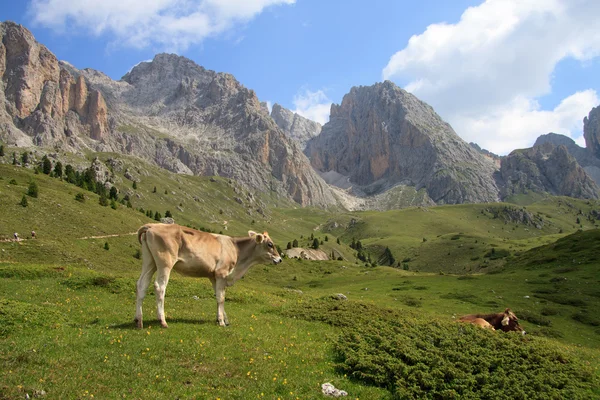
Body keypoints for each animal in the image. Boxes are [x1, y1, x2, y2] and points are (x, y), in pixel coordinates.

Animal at [136, 222, 282, 328]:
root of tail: (152, 225)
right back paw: (162, 321)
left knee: (142, 284)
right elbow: (221, 298)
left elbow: (218, 296)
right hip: (165, 262)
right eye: (270, 244)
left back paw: (138, 320)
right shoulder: (222, 273)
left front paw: (223, 319)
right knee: (159, 287)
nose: (280, 259)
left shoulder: (213, 276)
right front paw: (221, 322)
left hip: (149, 261)